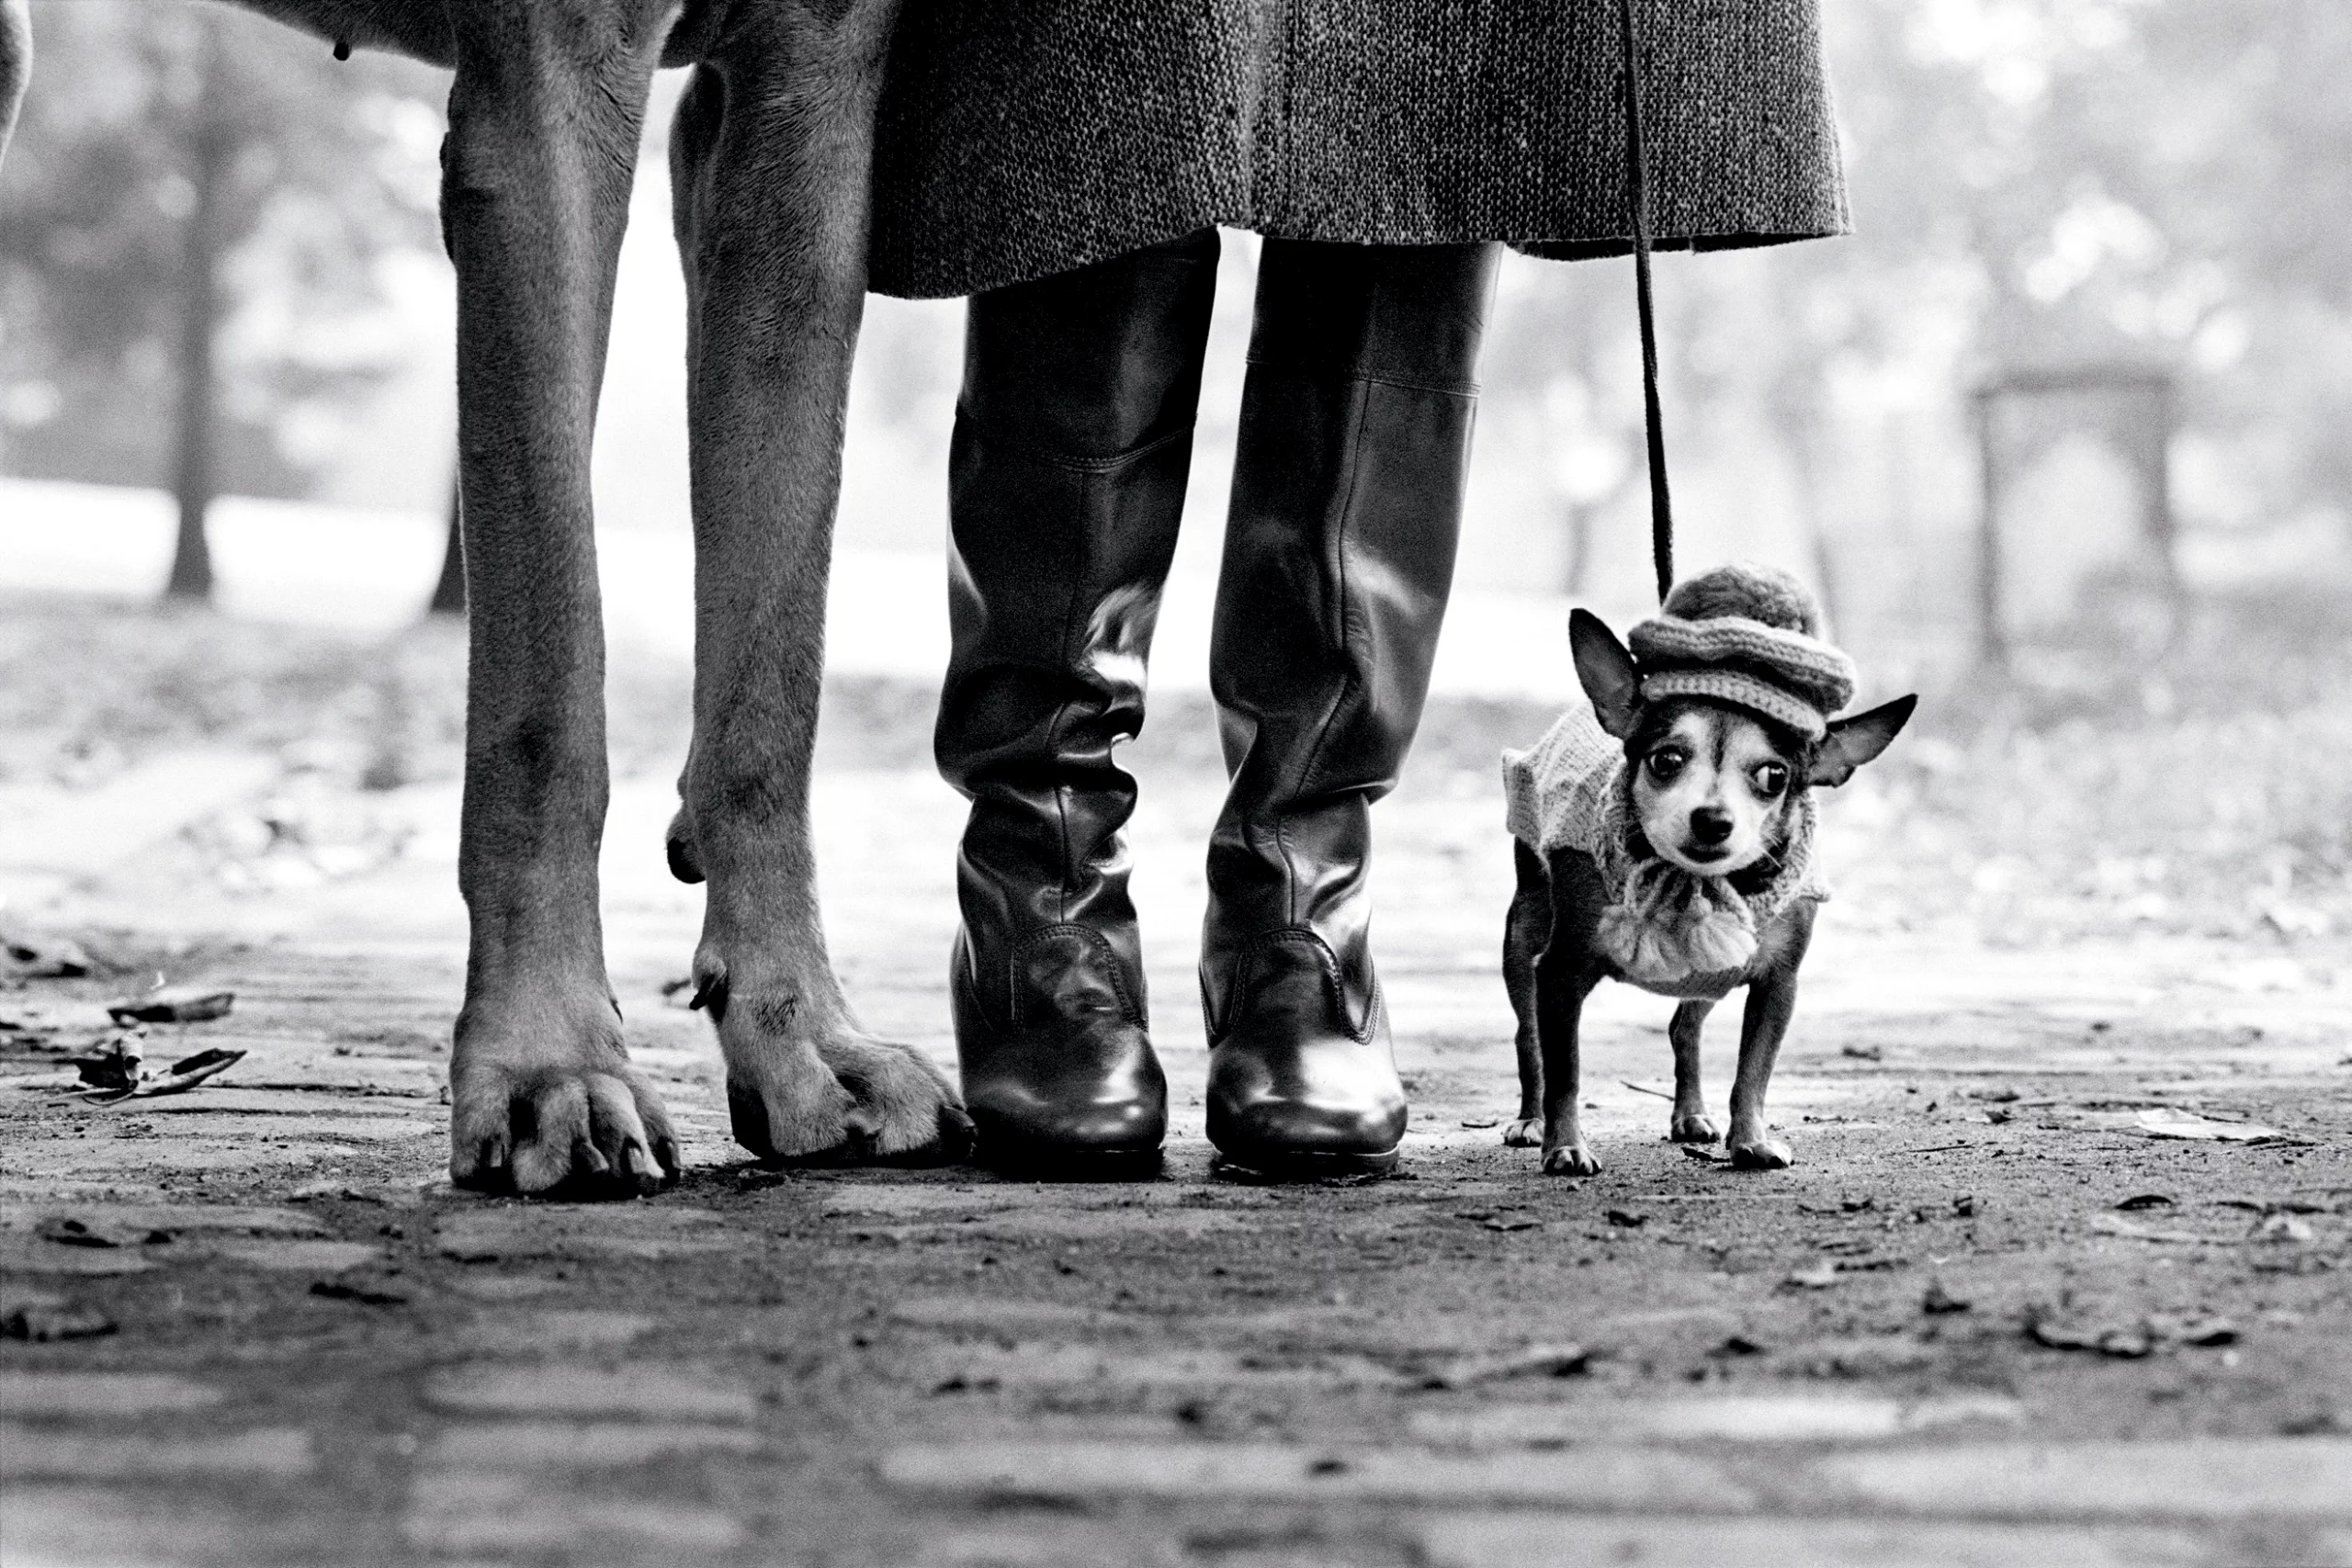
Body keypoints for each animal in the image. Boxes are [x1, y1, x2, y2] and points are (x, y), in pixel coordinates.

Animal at [1505, 566, 1909, 1175]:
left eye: (1774, 776)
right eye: (1666, 760)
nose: (1714, 819)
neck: (1693, 882)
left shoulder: (1776, 986)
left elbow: (1753, 1075)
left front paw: (1752, 1140)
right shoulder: (1560, 972)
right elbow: (1566, 1072)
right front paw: (1567, 1145)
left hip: (1709, 976)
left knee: (1684, 1028)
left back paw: (1690, 1115)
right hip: (1523, 939)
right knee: (1529, 1040)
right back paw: (1531, 1121)